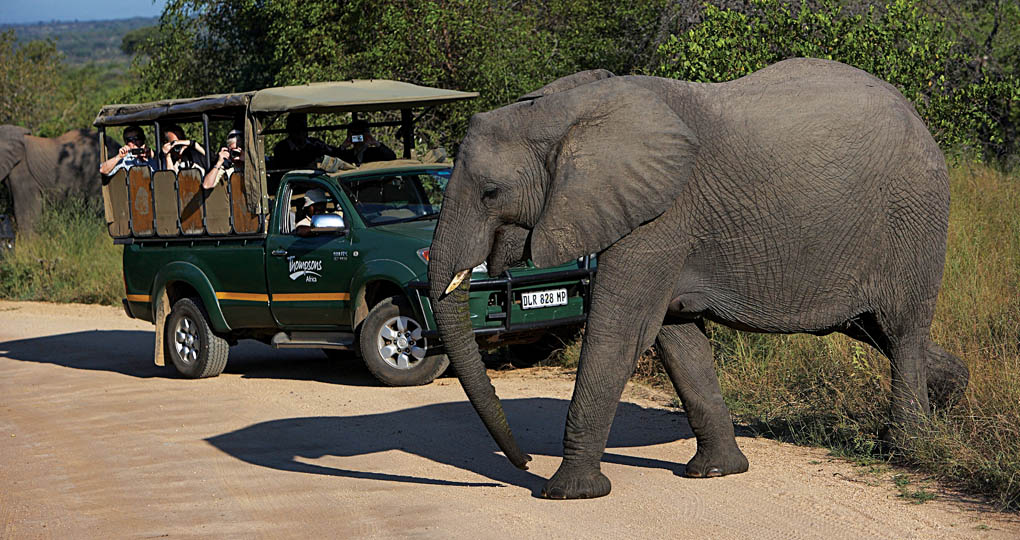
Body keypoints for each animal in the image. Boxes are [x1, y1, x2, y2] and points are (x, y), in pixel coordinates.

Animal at [428, 56, 971, 498]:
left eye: (491, 193)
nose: (521, 461)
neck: (565, 112)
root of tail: (920, 120)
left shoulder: (662, 217)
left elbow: (619, 332)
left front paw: (568, 492)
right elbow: (677, 339)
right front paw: (716, 473)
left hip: (913, 219)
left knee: (900, 331)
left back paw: (905, 447)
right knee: (875, 331)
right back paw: (950, 399)